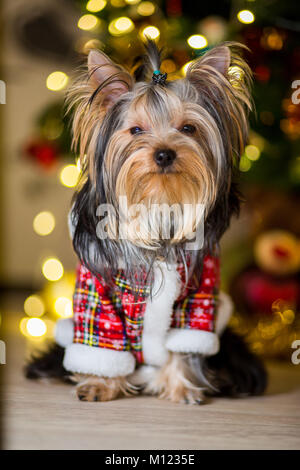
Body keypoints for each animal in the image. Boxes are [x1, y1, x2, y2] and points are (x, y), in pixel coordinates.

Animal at [24, 40, 266, 404]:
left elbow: (185, 342)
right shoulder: (97, 290)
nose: (164, 154)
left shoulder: (199, 293)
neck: (158, 202)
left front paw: (182, 388)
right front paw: (100, 385)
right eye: (136, 130)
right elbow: (102, 339)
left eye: (188, 128)